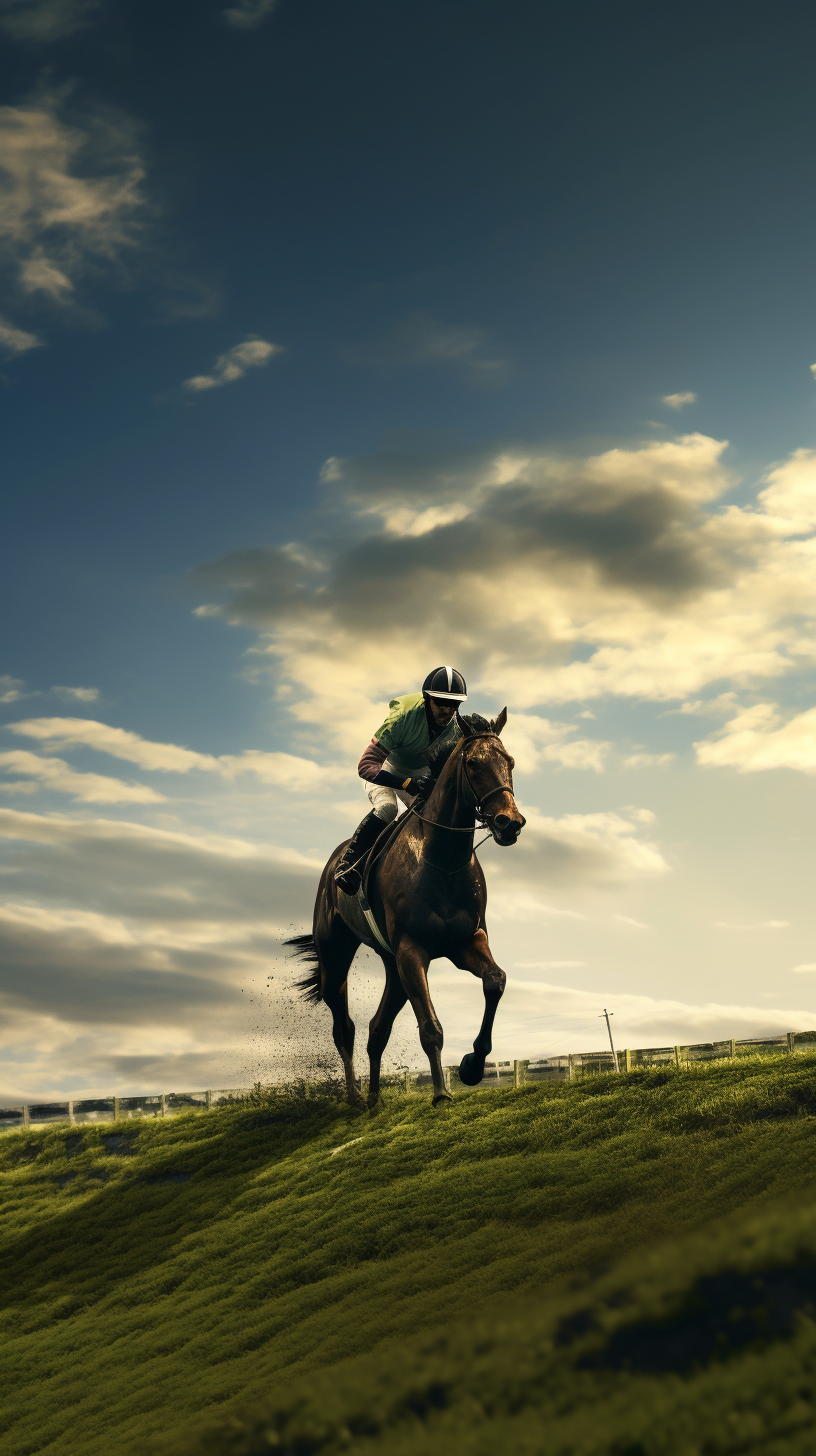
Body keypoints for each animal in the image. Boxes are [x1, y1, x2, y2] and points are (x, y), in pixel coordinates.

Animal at [287, 704, 524, 1100]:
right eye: (473, 763)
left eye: (510, 761)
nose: (510, 822)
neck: (442, 860)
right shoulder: (412, 950)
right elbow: (430, 1026)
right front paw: (441, 1093)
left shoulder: (465, 941)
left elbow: (495, 980)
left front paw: (472, 1066)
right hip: (336, 955)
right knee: (345, 1027)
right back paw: (354, 1097)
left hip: (392, 965)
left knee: (376, 1029)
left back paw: (374, 1099)